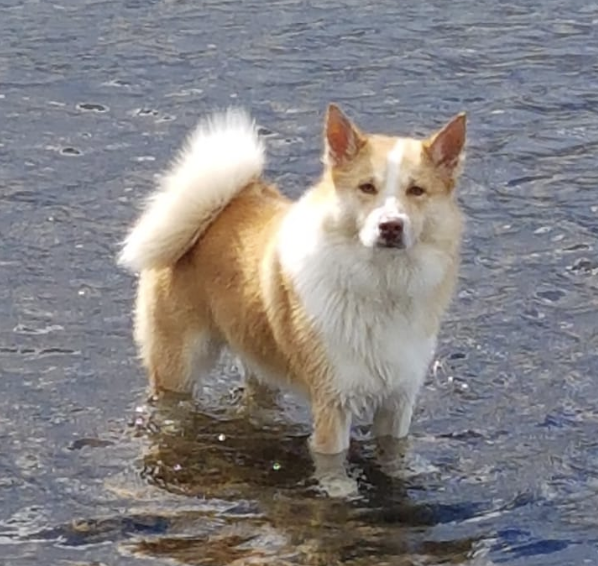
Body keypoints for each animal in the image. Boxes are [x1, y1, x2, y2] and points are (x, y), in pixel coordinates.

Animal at [118, 104, 468, 462]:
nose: (391, 226)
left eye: (417, 191)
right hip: (177, 368)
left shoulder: (397, 403)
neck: (382, 286)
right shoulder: (332, 404)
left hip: (257, 355)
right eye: (367, 187)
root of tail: (218, 208)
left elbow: (394, 453)